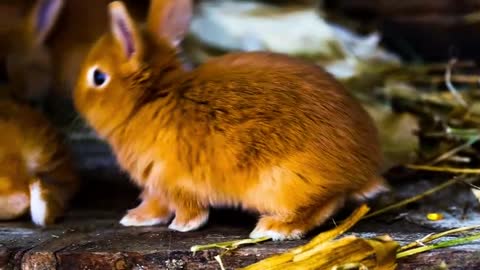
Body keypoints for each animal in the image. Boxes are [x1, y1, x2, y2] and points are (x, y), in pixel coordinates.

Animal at [73, 0, 388, 240]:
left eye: (98, 77)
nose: (76, 99)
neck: (149, 100)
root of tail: (363, 170)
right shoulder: (156, 187)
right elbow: (155, 204)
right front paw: (136, 218)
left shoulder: (175, 183)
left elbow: (189, 209)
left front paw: (182, 226)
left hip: (283, 182)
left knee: (323, 205)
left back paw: (274, 228)